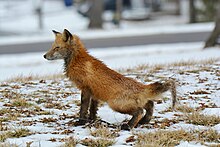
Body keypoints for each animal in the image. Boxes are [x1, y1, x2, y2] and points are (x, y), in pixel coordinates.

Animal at [43, 29, 176, 130]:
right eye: (52, 47)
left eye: (57, 48)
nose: (44, 55)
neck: (78, 60)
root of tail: (142, 87)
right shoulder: (94, 93)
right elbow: (92, 109)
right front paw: (92, 121)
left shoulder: (85, 89)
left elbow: (83, 108)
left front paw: (80, 122)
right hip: (131, 103)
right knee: (150, 104)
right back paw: (143, 121)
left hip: (115, 104)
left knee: (139, 111)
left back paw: (128, 126)